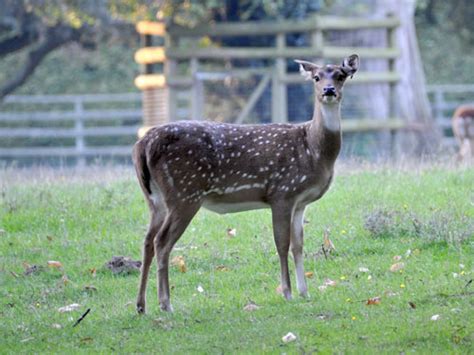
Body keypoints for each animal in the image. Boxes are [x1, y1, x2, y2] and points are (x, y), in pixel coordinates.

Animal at [133, 54, 360, 312]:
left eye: (340, 76)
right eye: (317, 77)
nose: (329, 90)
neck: (314, 150)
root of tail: (143, 145)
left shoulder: (300, 202)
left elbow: (298, 245)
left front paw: (305, 292)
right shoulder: (282, 192)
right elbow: (282, 243)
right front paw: (287, 293)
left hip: (155, 200)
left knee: (147, 241)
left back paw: (141, 306)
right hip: (184, 193)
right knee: (162, 242)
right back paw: (166, 304)